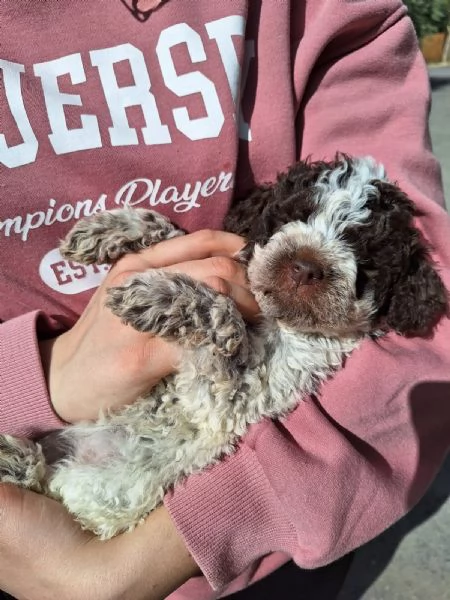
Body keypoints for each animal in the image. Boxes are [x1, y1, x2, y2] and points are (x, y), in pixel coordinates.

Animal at [0, 155, 446, 540]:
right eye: (292, 216)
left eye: (366, 259)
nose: (304, 267)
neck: (276, 320)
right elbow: (181, 236)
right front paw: (112, 229)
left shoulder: (235, 397)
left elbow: (219, 315)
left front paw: (157, 296)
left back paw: (16, 461)